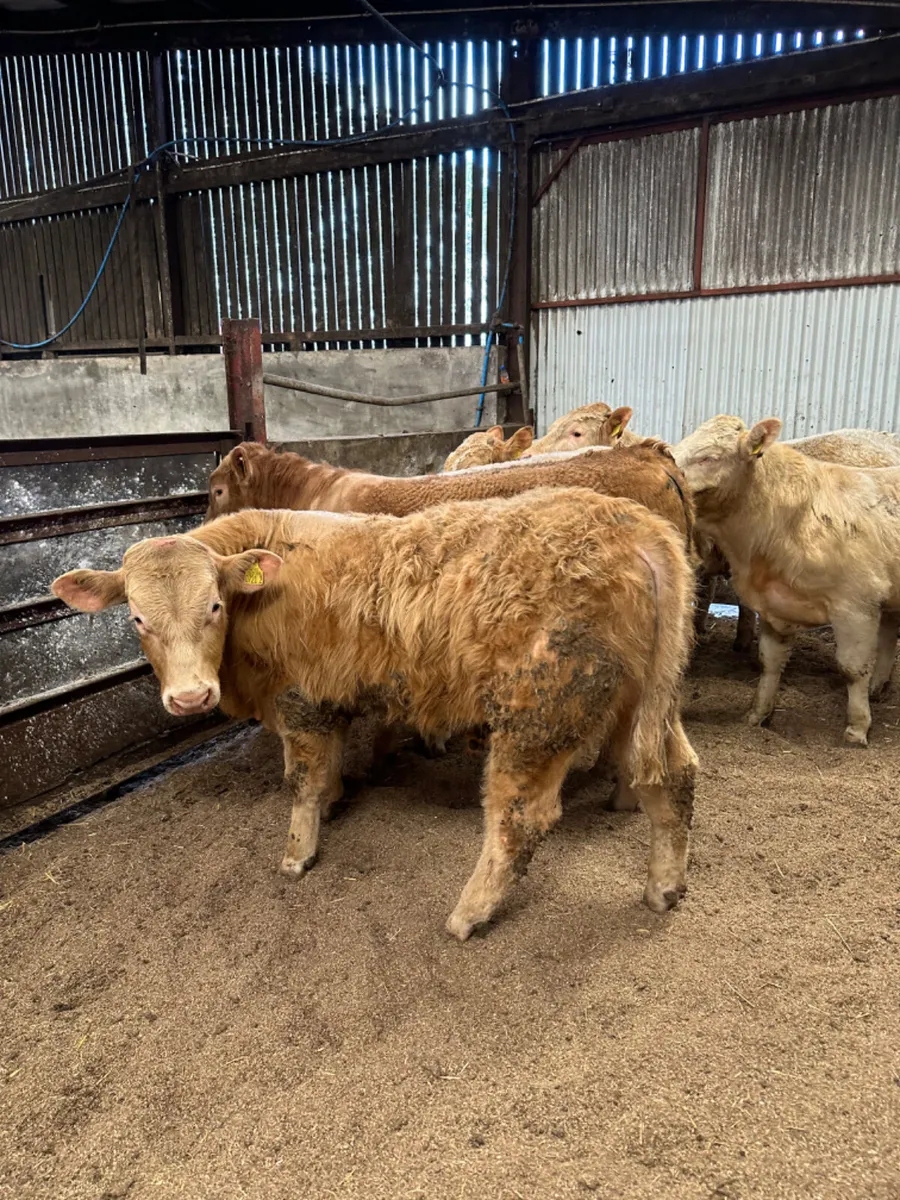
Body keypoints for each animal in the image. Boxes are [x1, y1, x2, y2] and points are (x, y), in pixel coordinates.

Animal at [52, 489, 699, 940]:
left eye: (213, 605)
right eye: (138, 618)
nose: (190, 697)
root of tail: (633, 523)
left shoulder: (302, 700)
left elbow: (302, 781)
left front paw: (298, 854)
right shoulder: (327, 702)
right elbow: (325, 770)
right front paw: (336, 801)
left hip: (539, 711)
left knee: (520, 818)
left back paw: (468, 914)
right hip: (635, 701)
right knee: (672, 777)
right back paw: (664, 888)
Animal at [673, 415, 900, 745]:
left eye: (709, 457)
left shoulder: (856, 606)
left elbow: (853, 668)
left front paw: (857, 728)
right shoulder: (773, 604)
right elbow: (770, 662)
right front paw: (757, 716)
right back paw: (878, 688)